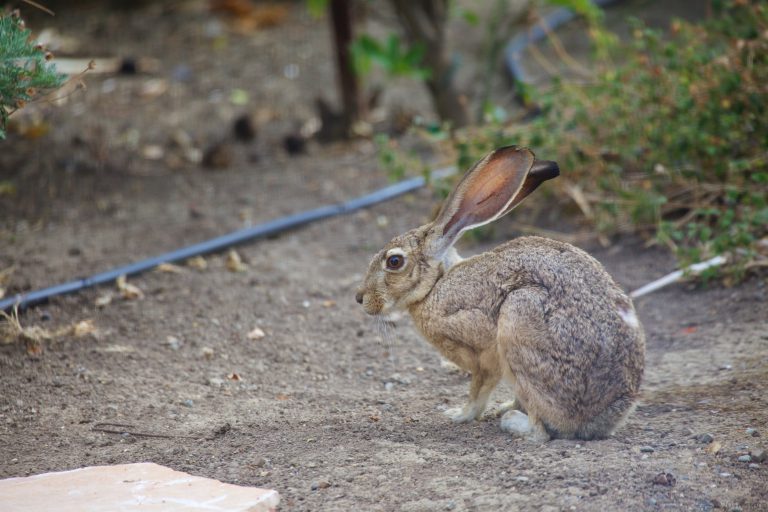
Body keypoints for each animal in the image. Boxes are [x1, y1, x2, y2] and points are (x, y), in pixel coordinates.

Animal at [355, 146, 645, 441]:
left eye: (394, 262)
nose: (360, 298)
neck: (436, 283)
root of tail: (602, 419)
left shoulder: (480, 351)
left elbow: (478, 390)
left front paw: (458, 415)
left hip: (519, 319)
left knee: (541, 431)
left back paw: (511, 421)